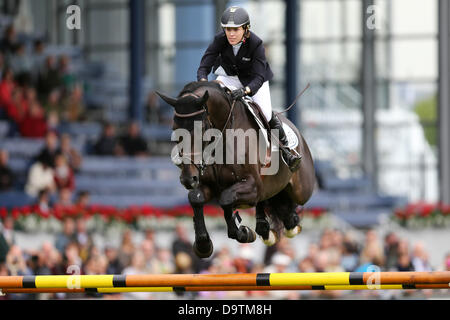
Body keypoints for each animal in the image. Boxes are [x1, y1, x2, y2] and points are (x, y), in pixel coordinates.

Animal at [156, 81, 314, 258]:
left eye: (202, 128)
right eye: (174, 128)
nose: (188, 179)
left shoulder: (252, 185)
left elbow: (226, 198)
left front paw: (243, 232)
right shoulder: (209, 186)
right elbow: (195, 198)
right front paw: (203, 244)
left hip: (301, 190)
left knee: (290, 206)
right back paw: (266, 227)